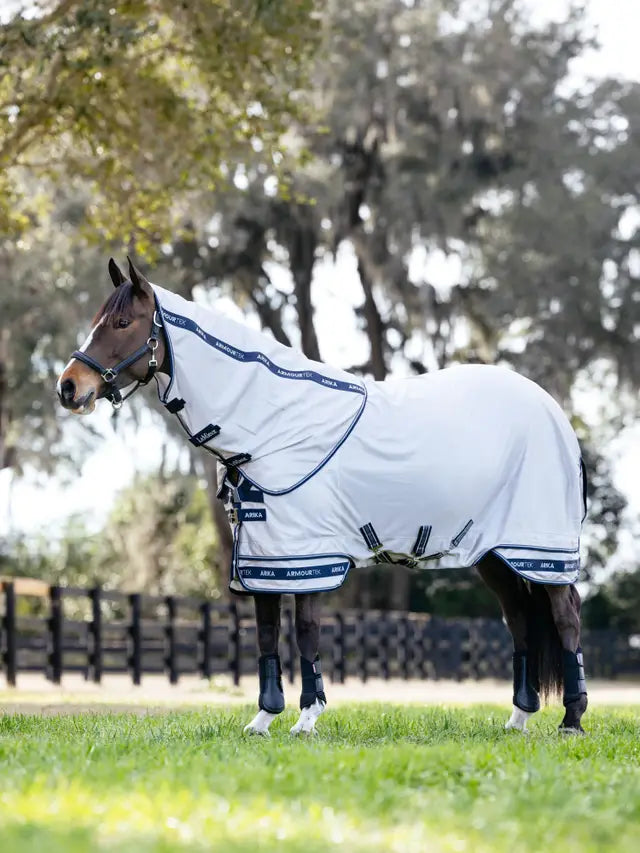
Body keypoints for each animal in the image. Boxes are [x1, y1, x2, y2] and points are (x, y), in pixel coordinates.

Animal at [56, 257, 588, 735]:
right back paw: (518, 719)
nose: (68, 387)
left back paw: (572, 720)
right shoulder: (263, 560)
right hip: (495, 556)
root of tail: (553, 412)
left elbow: (306, 634)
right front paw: (264, 719)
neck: (276, 424)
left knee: (565, 618)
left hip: (541, 551)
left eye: (123, 322)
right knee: (520, 621)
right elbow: (267, 635)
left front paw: (307, 719)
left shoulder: (311, 556)